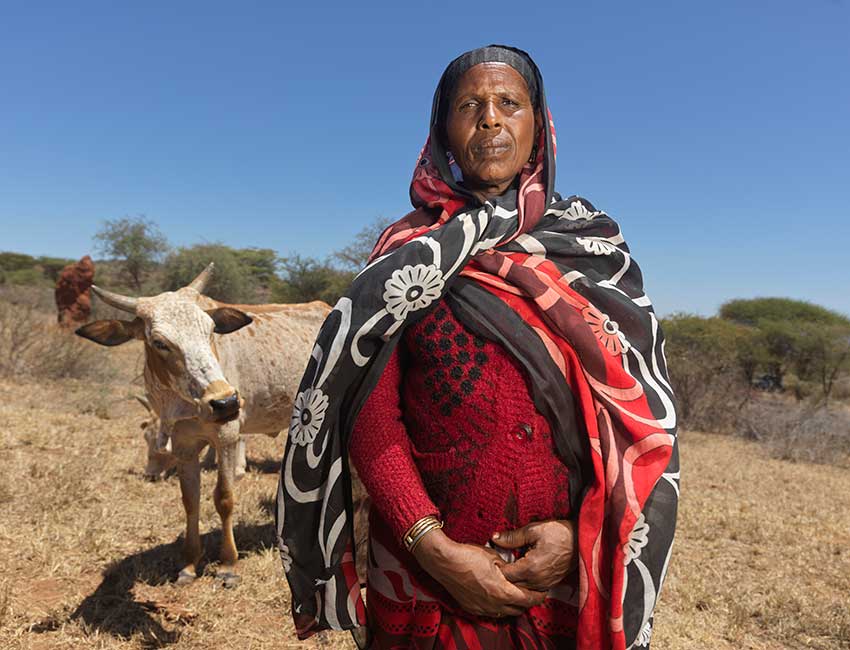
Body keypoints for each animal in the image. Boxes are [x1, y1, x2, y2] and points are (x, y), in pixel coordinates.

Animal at [76, 264, 329, 587]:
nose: (225, 402)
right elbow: (190, 500)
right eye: (159, 343)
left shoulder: (228, 436)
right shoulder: (184, 447)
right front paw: (189, 563)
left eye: (210, 330)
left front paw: (228, 564)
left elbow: (224, 498)